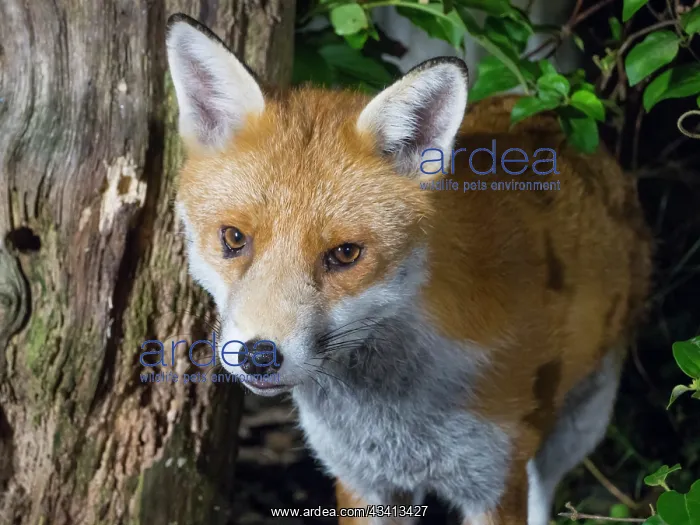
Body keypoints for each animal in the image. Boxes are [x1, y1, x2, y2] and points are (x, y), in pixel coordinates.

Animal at [165, 13, 652, 525]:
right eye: (234, 239)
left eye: (345, 254)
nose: (259, 356)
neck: (400, 416)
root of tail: (537, 105)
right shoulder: (362, 481)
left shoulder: (494, 478)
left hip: (579, 424)